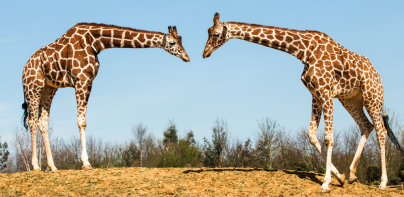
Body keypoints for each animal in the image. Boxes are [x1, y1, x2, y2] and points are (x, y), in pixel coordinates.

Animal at [22, 22, 190, 171]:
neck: (95, 42)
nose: (187, 57)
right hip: (33, 87)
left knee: (42, 122)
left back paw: (53, 167)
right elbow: (81, 122)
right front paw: (86, 163)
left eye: (181, 39)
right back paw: (35, 166)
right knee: (31, 121)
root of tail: (24, 68)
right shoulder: (81, 80)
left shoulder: (88, 82)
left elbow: (82, 121)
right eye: (172, 42)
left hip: (49, 88)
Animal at [204, 13, 402, 193]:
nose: (204, 53)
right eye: (208, 31)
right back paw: (352, 174)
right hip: (350, 100)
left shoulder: (326, 92)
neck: (304, 50)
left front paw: (326, 183)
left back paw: (383, 183)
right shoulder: (316, 94)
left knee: (381, 131)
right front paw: (340, 177)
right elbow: (312, 136)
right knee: (366, 126)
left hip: (372, 97)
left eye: (215, 34)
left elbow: (328, 138)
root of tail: (378, 76)